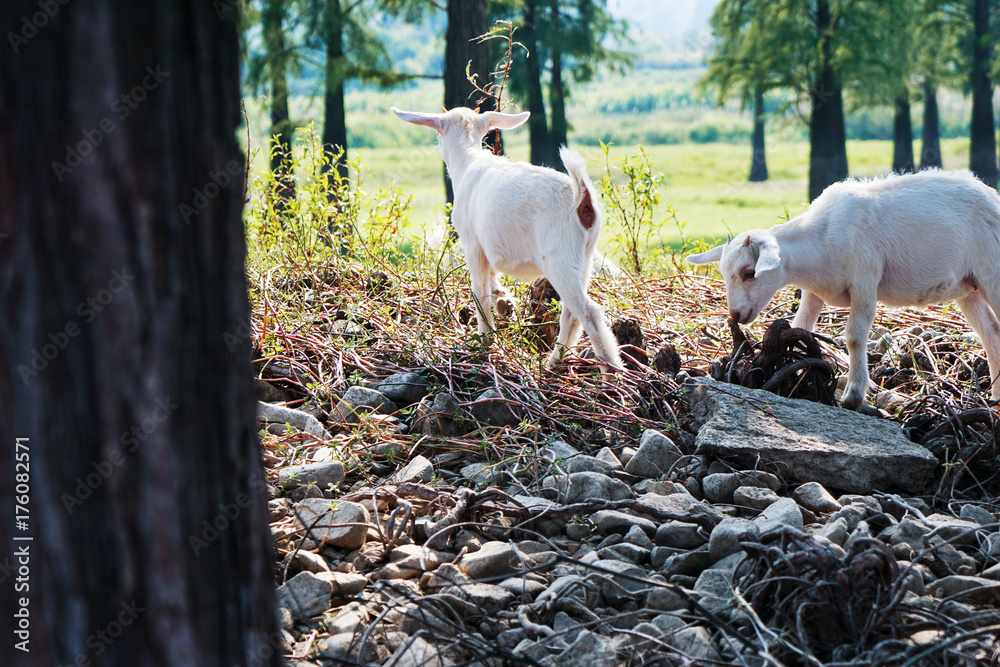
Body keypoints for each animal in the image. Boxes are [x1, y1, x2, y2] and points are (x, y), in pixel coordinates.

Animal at [392, 107, 620, 374]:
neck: (469, 161)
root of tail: (582, 200)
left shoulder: (473, 244)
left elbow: (479, 290)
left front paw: (484, 338)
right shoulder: (490, 248)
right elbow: (492, 282)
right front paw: (503, 301)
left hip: (559, 258)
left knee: (588, 312)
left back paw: (611, 373)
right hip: (584, 257)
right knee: (571, 314)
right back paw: (553, 361)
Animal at [688, 170, 1000, 410]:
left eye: (749, 273)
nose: (736, 315)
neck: (821, 239)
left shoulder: (865, 281)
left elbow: (854, 337)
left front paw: (853, 395)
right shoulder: (814, 292)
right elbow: (801, 327)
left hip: (992, 273)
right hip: (968, 289)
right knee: (991, 334)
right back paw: (995, 397)